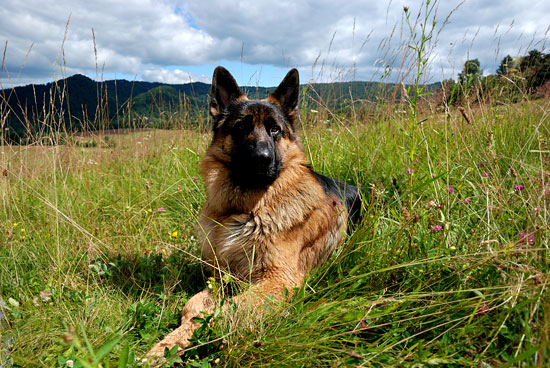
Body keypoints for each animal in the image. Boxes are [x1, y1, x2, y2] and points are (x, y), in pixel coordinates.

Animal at [144, 67, 364, 360]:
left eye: (275, 129)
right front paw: (170, 342)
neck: (246, 209)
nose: (262, 159)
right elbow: (193, 306)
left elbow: (227, 310)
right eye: (241, 128)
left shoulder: (277, 279)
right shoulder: (222, 276)